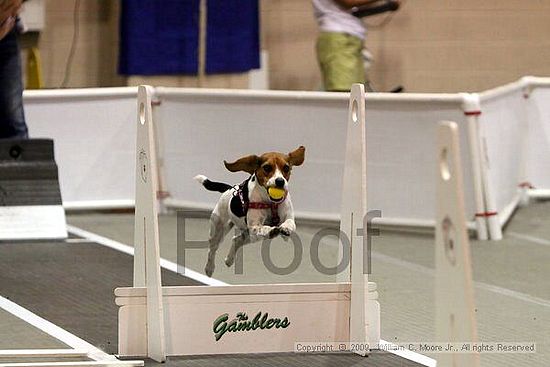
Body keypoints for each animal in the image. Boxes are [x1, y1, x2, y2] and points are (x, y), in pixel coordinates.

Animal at [195, 145, 306, 278]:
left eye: (286, 168)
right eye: (267, 167)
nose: (280, 181)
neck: (270, 202)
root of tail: (229, 189)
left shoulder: (288, 218)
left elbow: (289, 223)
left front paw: (285, 229)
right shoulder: (254, 227)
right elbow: (264, 228)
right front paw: (272, 230)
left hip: (249, 236)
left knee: (237, 239)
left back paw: (229, 260)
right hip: (219, 230)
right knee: (212, 249)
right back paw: (209, 268)